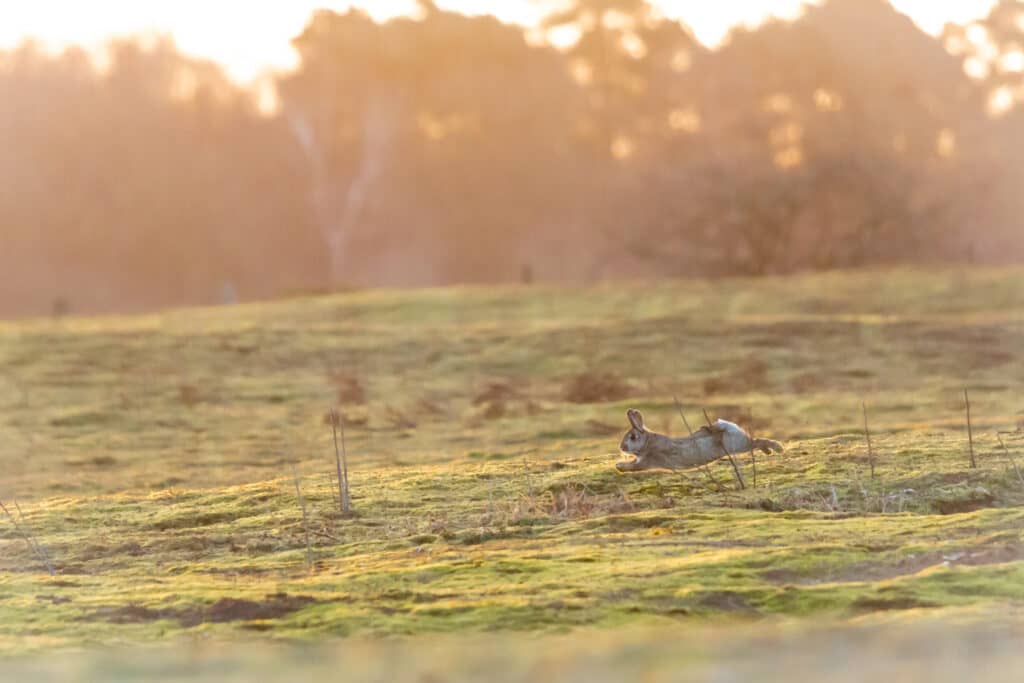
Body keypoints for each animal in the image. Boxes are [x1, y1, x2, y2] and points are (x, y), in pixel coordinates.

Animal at [614, 409, 782, 473]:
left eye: (633, 437)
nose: (621, 447)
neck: (647, 443)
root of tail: (726, 426)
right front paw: (618, 465)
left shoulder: (648, 461)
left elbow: (635, 466)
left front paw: (620, 467)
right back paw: (769, 451)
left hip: (738, 445)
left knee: (757, 441)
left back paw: (777, 448)